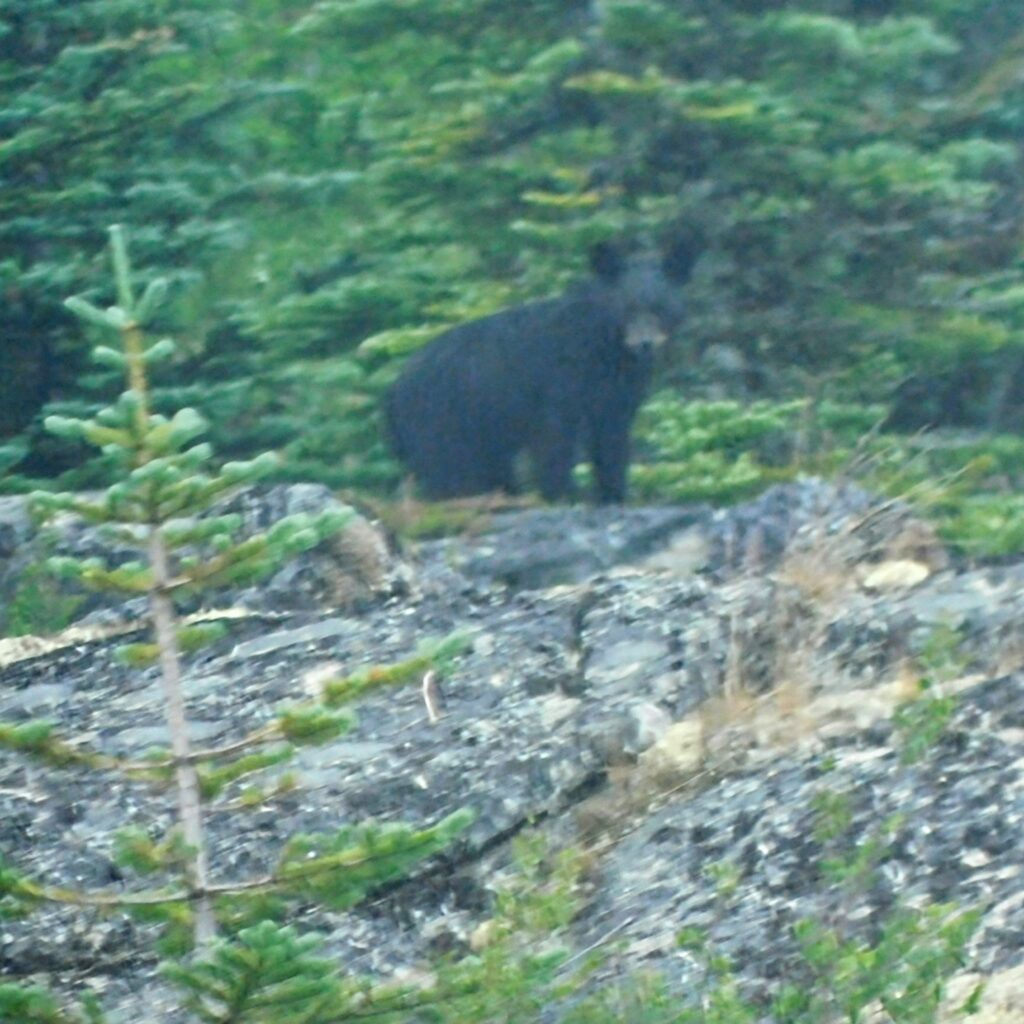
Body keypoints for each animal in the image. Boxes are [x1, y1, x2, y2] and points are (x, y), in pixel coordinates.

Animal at [387, 235, 700, 499]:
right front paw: (562, 493)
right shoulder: (559, 381)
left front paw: (613, 492)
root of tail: (392, 394)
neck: (607, 350)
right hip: (444, 420)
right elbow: (555, 439)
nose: (645, 343)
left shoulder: (619, 392)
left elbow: (612, 439)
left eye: (661, 307)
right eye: (628, 308)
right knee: (452, 470)